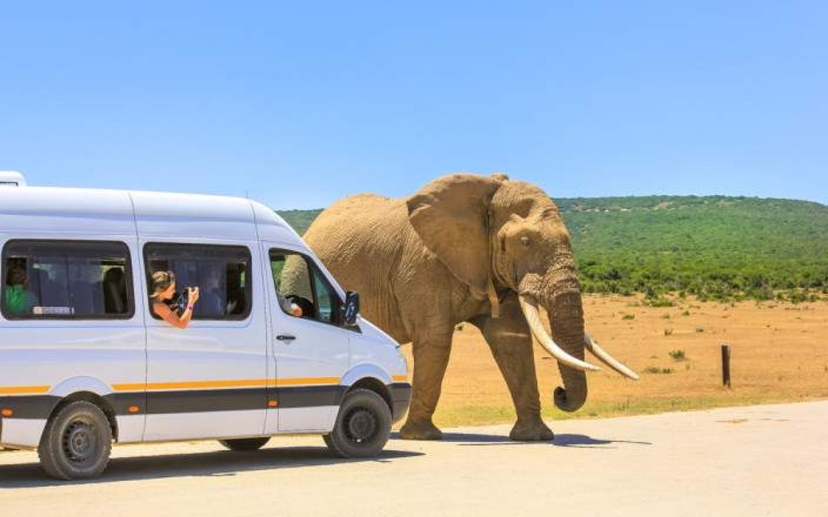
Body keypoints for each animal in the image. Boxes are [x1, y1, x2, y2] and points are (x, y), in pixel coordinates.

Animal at [303, 173, 638, 441]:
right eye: (525, 241)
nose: (560, 394)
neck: (486, 193)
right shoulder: (422, 266)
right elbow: (435, 340)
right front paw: (422, 437)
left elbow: (512, 341)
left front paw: (534, 437)